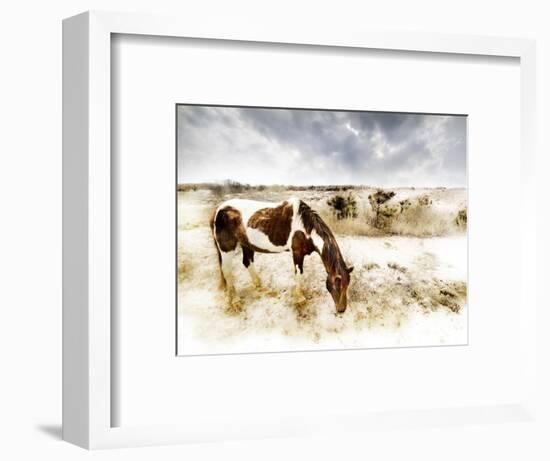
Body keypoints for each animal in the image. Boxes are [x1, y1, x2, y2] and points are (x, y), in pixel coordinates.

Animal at [209, 197, 356, 312]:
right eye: (337, 285)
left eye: (347, 285)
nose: (342, 310)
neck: (304, 227)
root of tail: (218, 210)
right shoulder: (297, 254)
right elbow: (299, 274)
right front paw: (300, 298)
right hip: (227, 249)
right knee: (227, 271)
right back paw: (235, 301)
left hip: (247, 244)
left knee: (247, 262)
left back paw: (261, 287)